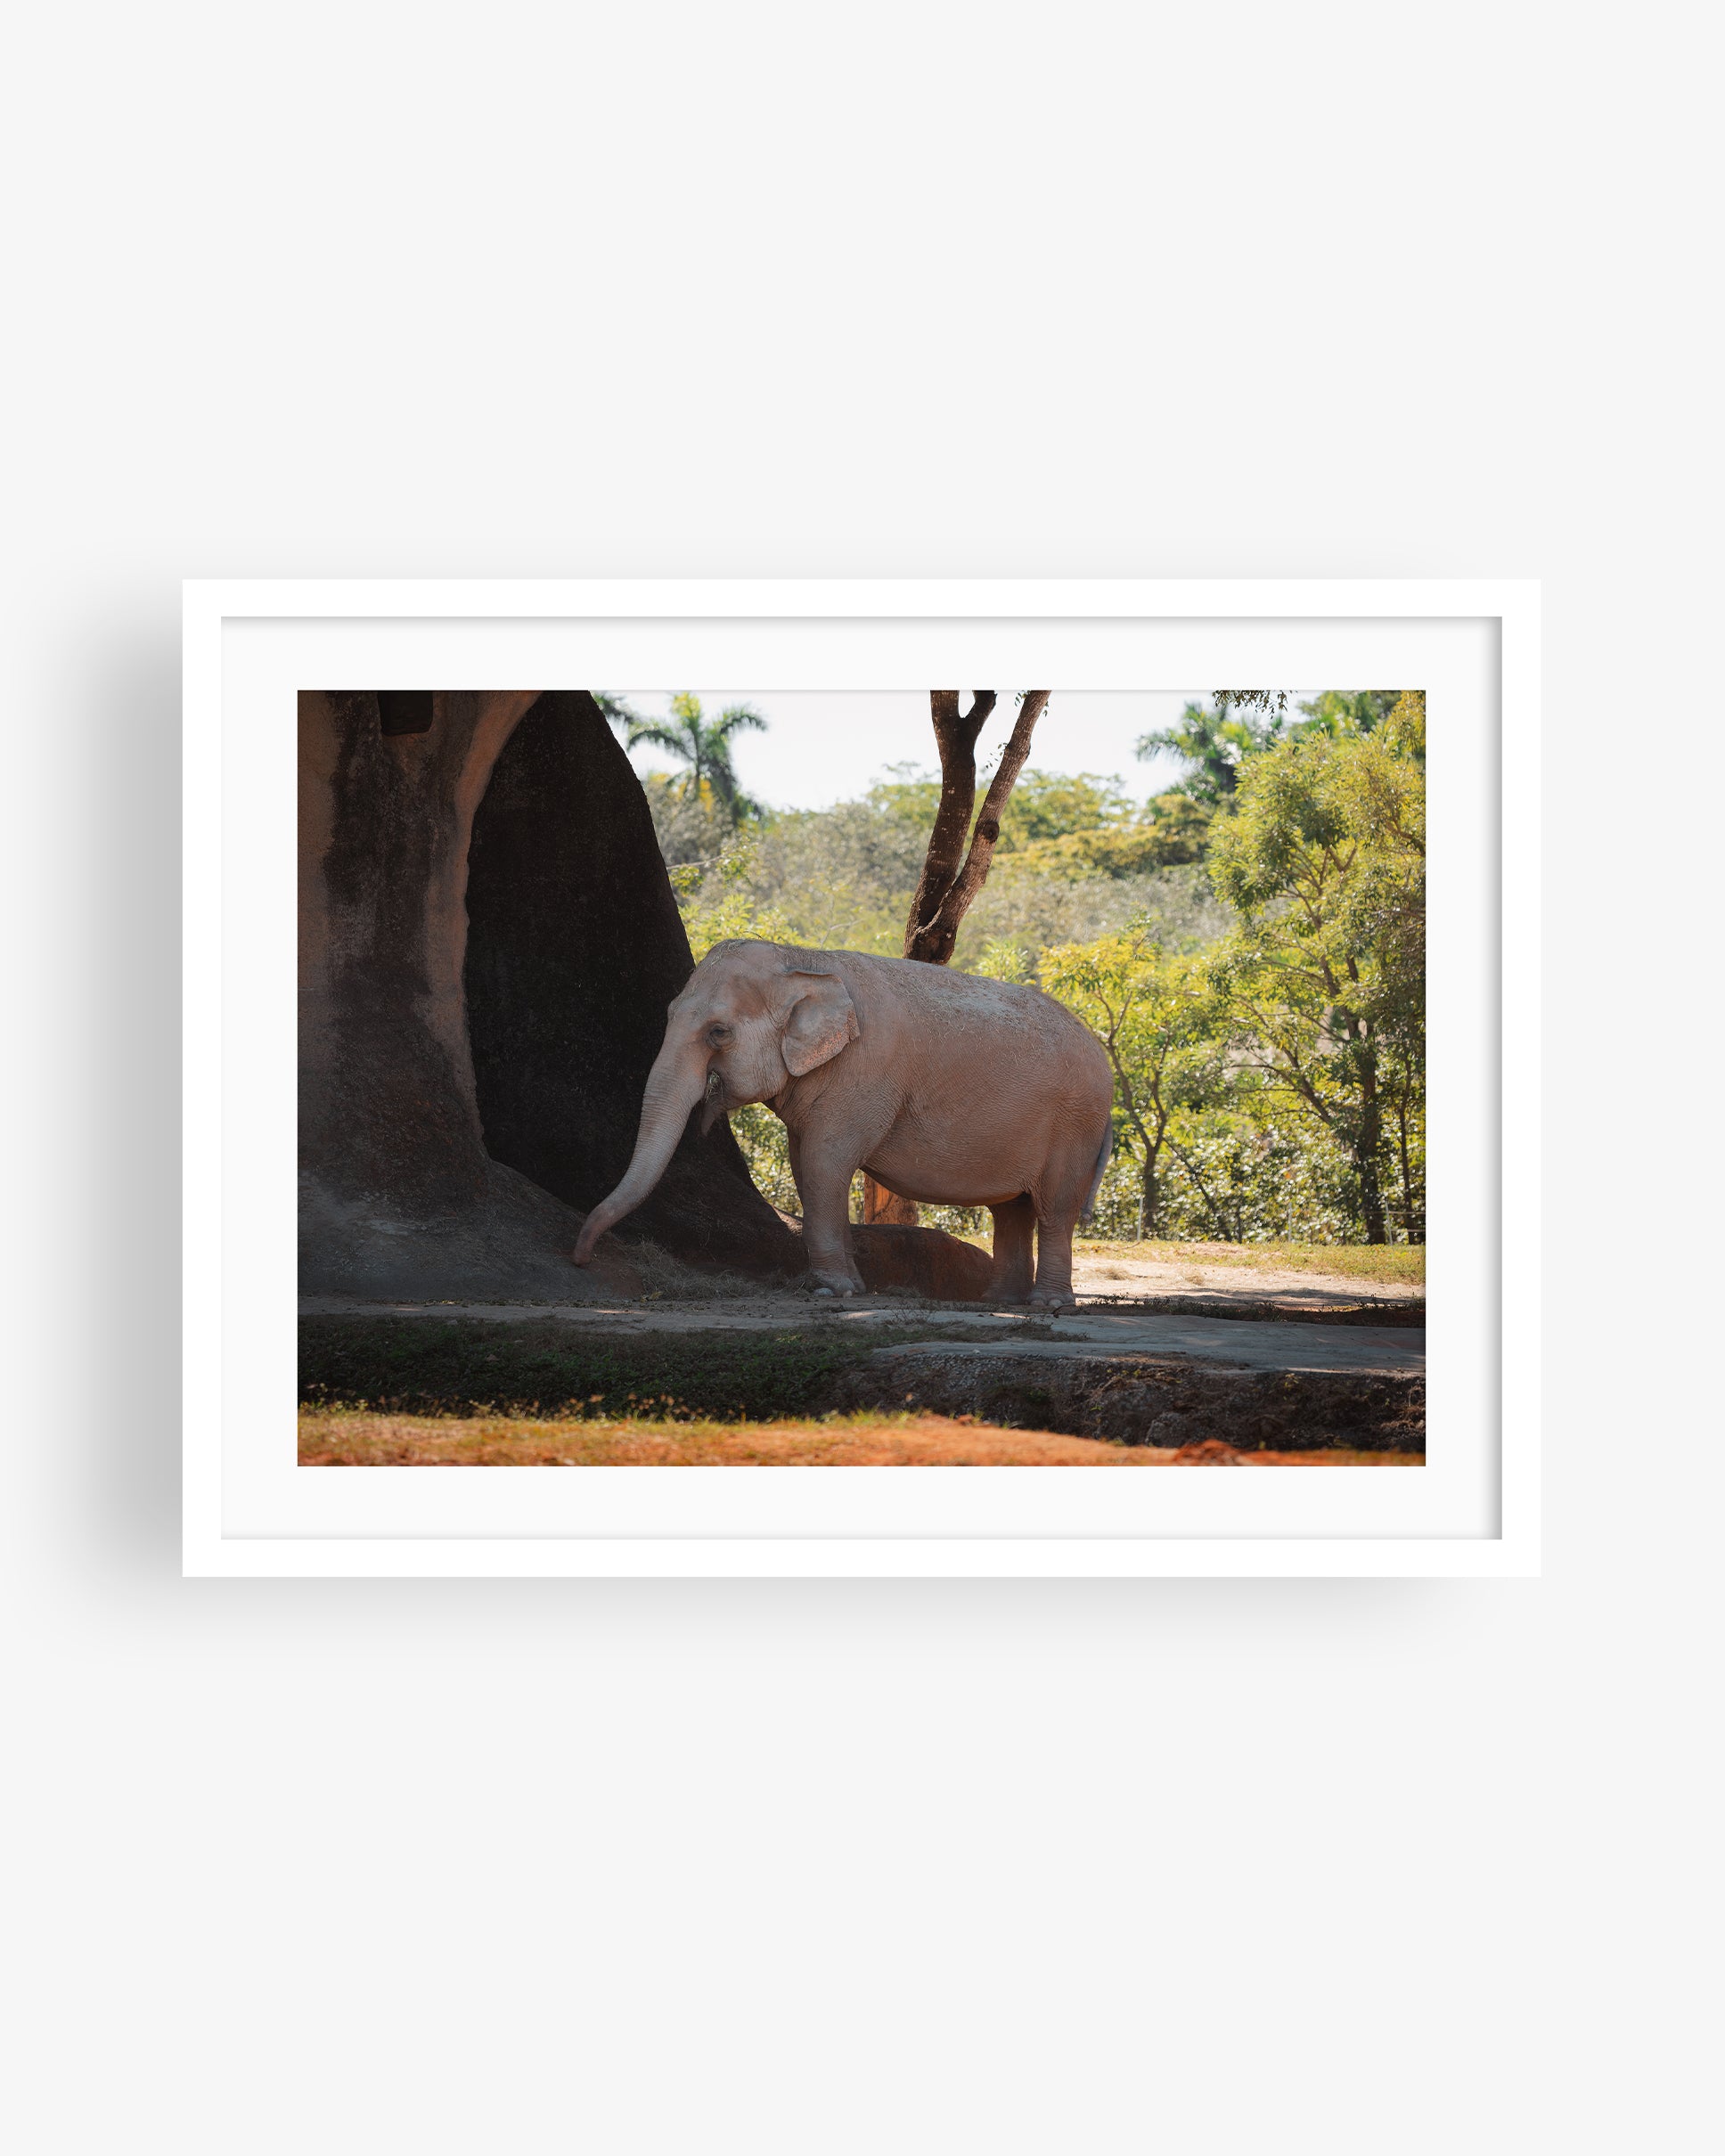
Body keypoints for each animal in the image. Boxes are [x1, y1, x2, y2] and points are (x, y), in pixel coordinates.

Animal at [573, 938, 1115, 1308]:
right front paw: (849, 1289)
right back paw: (998, 1303)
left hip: (1076, 1123)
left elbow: (824, 1163)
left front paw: (833, 1293)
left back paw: (1047, 1304)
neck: (802, 960)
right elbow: (805, 1163)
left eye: (718, 1032)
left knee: (1054, 1207)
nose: (582, 1258)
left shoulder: (863, 1075)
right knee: (1012, 1209)